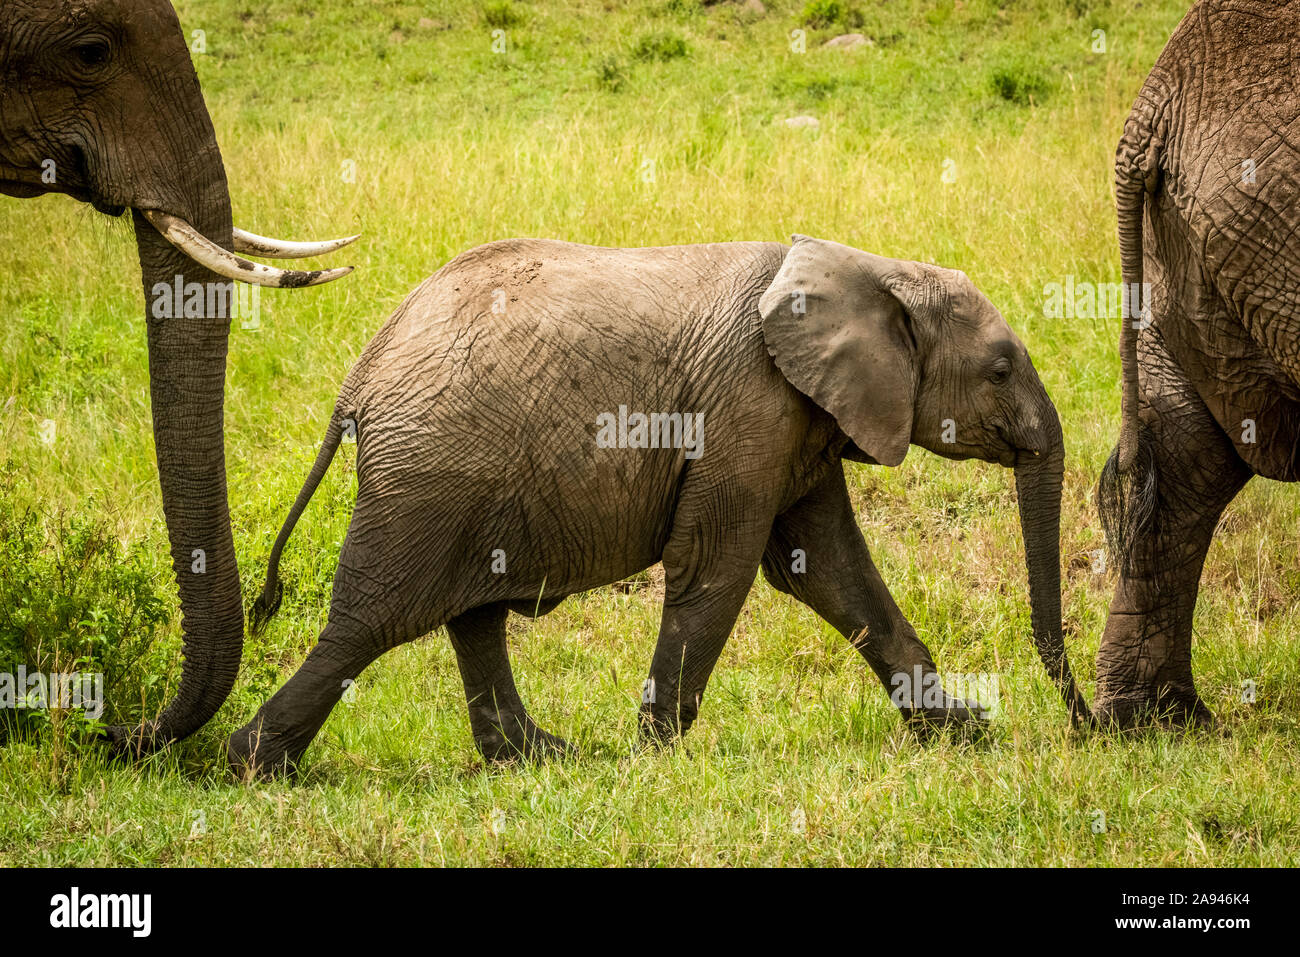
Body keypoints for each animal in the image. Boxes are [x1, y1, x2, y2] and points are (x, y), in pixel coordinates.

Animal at [232, 234, 1091, 775]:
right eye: (1001, 369)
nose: (1087, 723)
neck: (871, 267)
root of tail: (360, 377)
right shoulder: (751, 403)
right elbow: (719, 567)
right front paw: (656, 753)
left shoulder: (800, 419)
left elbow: (832, 571)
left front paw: (962, 731)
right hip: (429, 474)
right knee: (369, 621)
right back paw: (253, 766)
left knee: (470, 618)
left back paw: (541, 757)